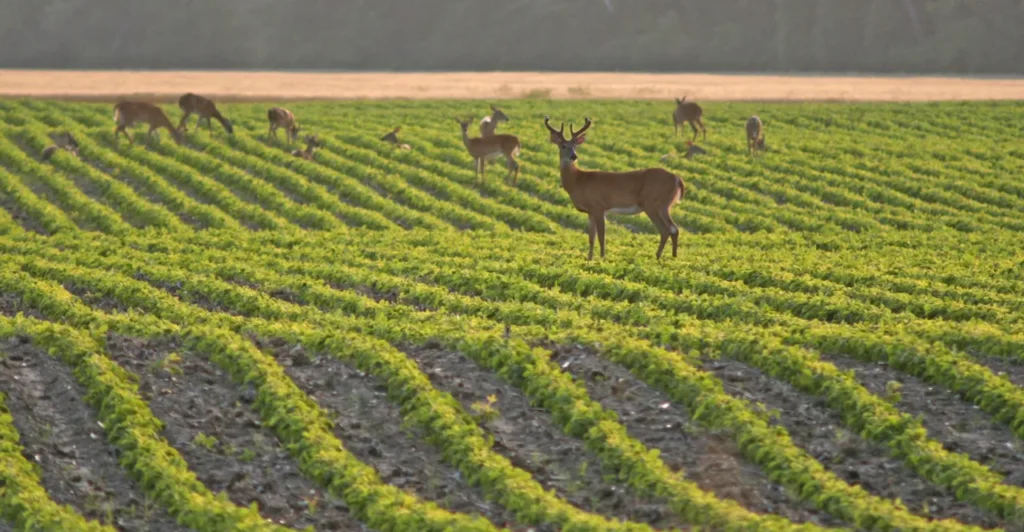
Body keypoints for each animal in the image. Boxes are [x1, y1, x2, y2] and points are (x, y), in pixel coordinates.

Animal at [544, 116, 686, 261]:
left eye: (575, 146)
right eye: (563, 146)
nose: (574, 156)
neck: (578, 181)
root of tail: (677, 178)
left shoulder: (598, 206)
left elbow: (601, 237)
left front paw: (602, 258)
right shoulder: (590, 211)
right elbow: (591, 238)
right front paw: (589, 259)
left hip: (653, 203)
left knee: (665, 229)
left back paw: (657, 257)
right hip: (664, 205)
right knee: (674, 229)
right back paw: (673, 257)